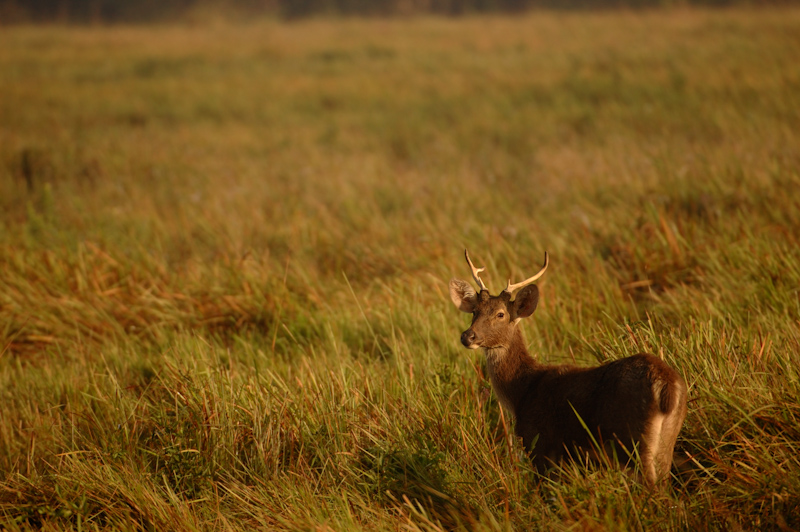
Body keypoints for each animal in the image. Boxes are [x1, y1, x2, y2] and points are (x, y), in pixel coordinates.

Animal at [450, 249, 688, 486]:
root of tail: (667, 384)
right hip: (667, 438)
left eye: (500, 314)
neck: (522, 392)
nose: (468, 336)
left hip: (632, 438)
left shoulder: (541, 444)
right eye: (474, 311)